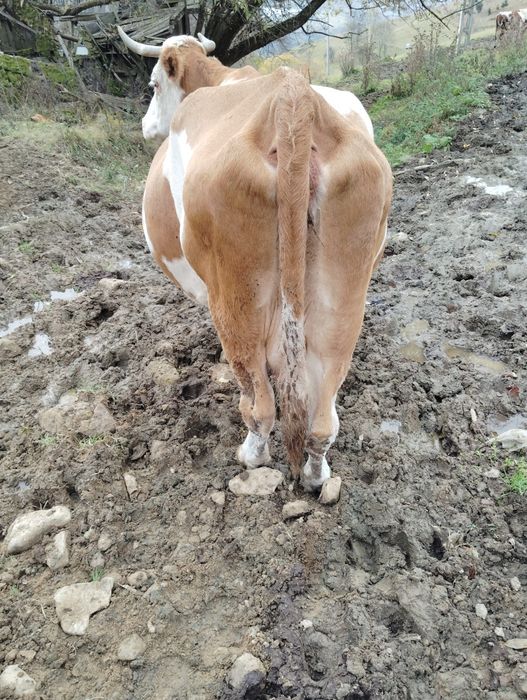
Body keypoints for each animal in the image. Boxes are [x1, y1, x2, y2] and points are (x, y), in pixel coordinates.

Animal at [120, 33, 392, 492]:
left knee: (259, 400)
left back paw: (252, 455)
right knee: (323, 414)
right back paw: (316, 473)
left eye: (154, 85)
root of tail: (292, 98)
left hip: (237, 297)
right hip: (344, 298)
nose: (143, 126)